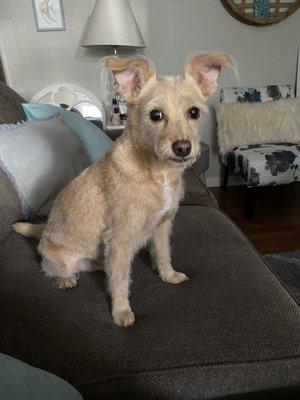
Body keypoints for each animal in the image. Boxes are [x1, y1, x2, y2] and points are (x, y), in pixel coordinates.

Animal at [12, 53, 231, 326]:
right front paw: (121, 312)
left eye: (194, 112)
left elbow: (163, 255)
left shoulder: (162, 227)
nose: (183, 148)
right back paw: (65, 279)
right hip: (60, 261)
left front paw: (168, 276)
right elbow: (120, 282)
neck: (156, 173)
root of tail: (42, 233)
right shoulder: (119, 240)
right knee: (49, 269)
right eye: (155, 115)